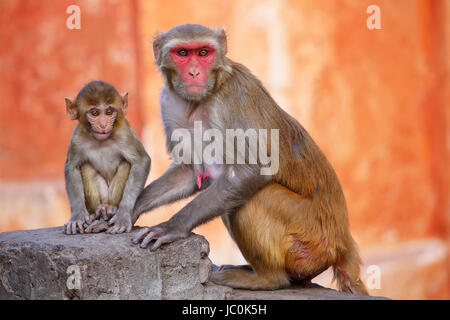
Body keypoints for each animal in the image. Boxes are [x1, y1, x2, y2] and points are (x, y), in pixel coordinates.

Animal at [63, 80, 151, 235]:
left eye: (109, 112)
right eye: (95, 113)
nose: (103, 125)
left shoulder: (125, 133)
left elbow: (141, 161)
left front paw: (123, 214)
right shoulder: (77, 138)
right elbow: (72, 167)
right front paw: (77, 215)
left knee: (126, 165)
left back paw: (111, 209)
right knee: (86, 167)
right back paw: (98, 211)